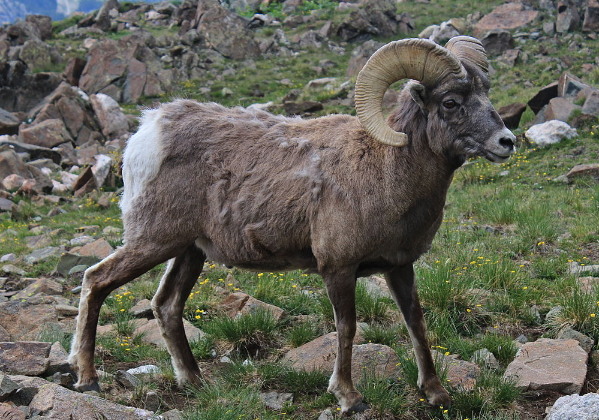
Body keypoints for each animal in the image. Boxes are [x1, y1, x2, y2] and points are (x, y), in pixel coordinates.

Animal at [69, 36, 516, 414]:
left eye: (485, 93)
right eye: (451, 102)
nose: (506, 142)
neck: (386, 171)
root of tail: (148, 132)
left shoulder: (399, 267)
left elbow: (416, 324)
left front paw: (437, 394)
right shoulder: (337, 268)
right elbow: (347, 328)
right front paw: (350, 398)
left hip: (189, 251)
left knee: (166, 304)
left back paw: (195, 382)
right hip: (152, 242)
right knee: (96, 281)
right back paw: (88, 380)